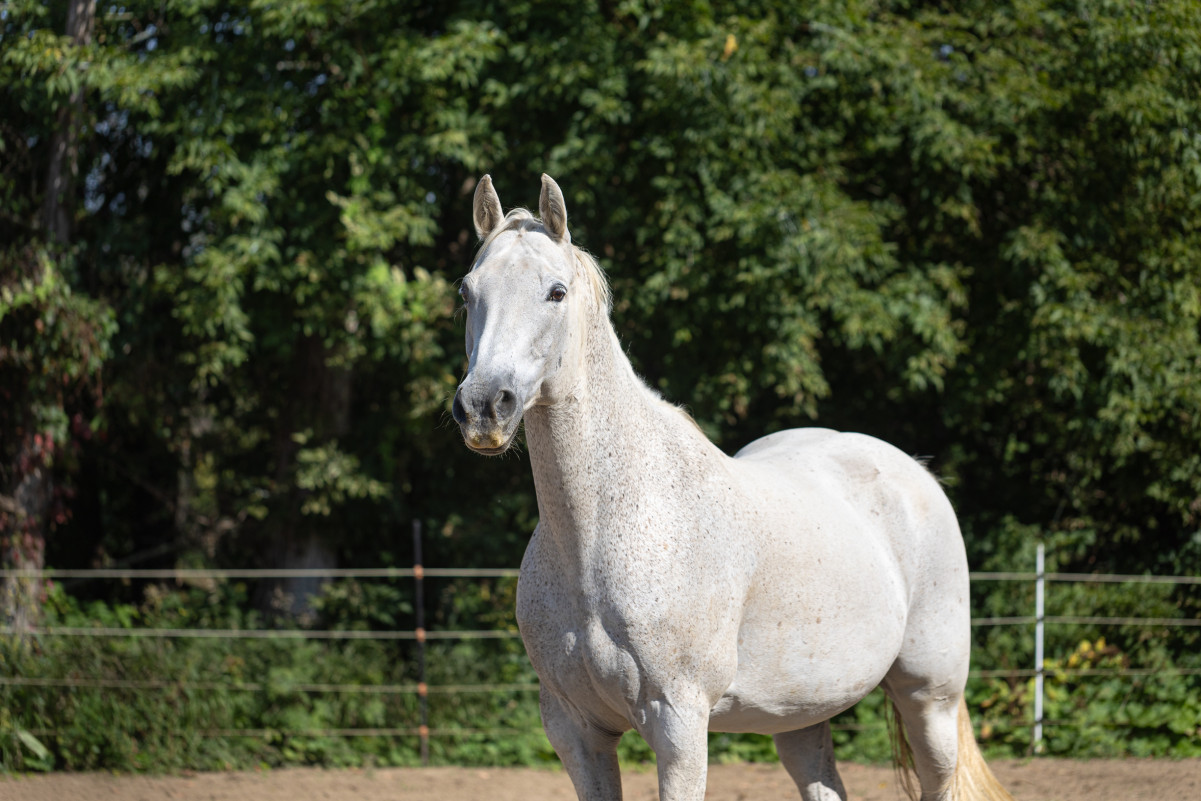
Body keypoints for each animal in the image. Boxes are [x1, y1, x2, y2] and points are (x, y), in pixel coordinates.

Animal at [451, 174, 1013, 801]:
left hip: (930, 699)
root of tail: (916, 473)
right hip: (801, 717)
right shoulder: (575, 730)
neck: (597, 536)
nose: (484, 407)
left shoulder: (679, 725)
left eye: (555, 292)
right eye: (466, 293)